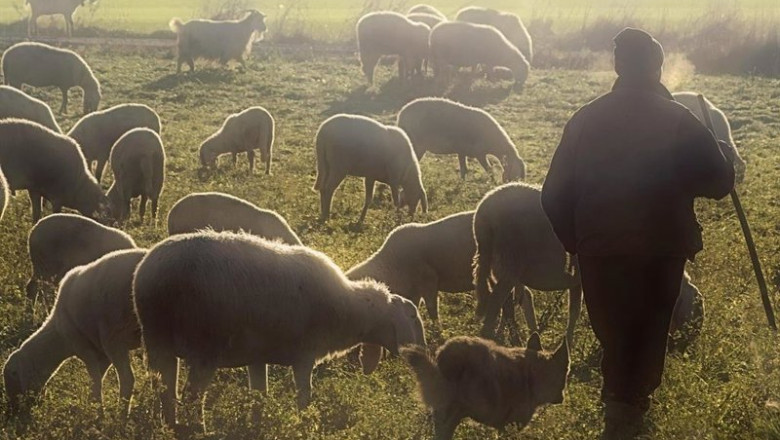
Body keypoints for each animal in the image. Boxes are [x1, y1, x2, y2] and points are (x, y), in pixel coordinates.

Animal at [4, 249, 147, 421]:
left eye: (13, 375)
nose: (11, 413)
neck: (58, 336)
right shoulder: (101, 352)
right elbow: (99, 379)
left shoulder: (86, 348)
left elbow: (96, 382)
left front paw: (98, 416)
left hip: (115, 335)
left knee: (127, 379)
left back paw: (122, 419)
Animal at [133, 231, 426, 431]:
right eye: (412, 316)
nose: (422, 355)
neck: (347, 308)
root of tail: (155, 277)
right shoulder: (304, 356)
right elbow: (304, 397)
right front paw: (304, 424)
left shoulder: (256, 356)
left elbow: (259, 395)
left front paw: (257, 423)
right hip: (205, 345)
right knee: (192, 397)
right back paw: (197, 430)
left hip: (158, 341)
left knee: (165, 392)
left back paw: (169, 427)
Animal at [397, 97, 526, 182]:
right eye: (517, 176)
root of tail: (401, 115)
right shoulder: (478, 153)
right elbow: (488, 169)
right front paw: (492, 183)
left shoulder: (462, 151)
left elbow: (464, 169)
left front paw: (463, 183)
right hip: (415, 144)